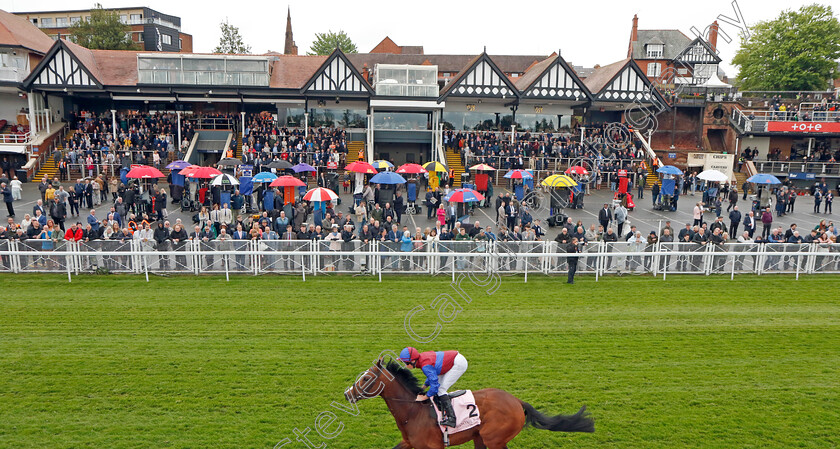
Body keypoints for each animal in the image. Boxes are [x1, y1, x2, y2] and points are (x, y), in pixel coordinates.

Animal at [344, 356, 592, 448]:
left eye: (366, 378)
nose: (347, 394)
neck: (413, 412)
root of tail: (516, 401)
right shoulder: (410, 444)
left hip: (494, 439)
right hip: (480, 437)